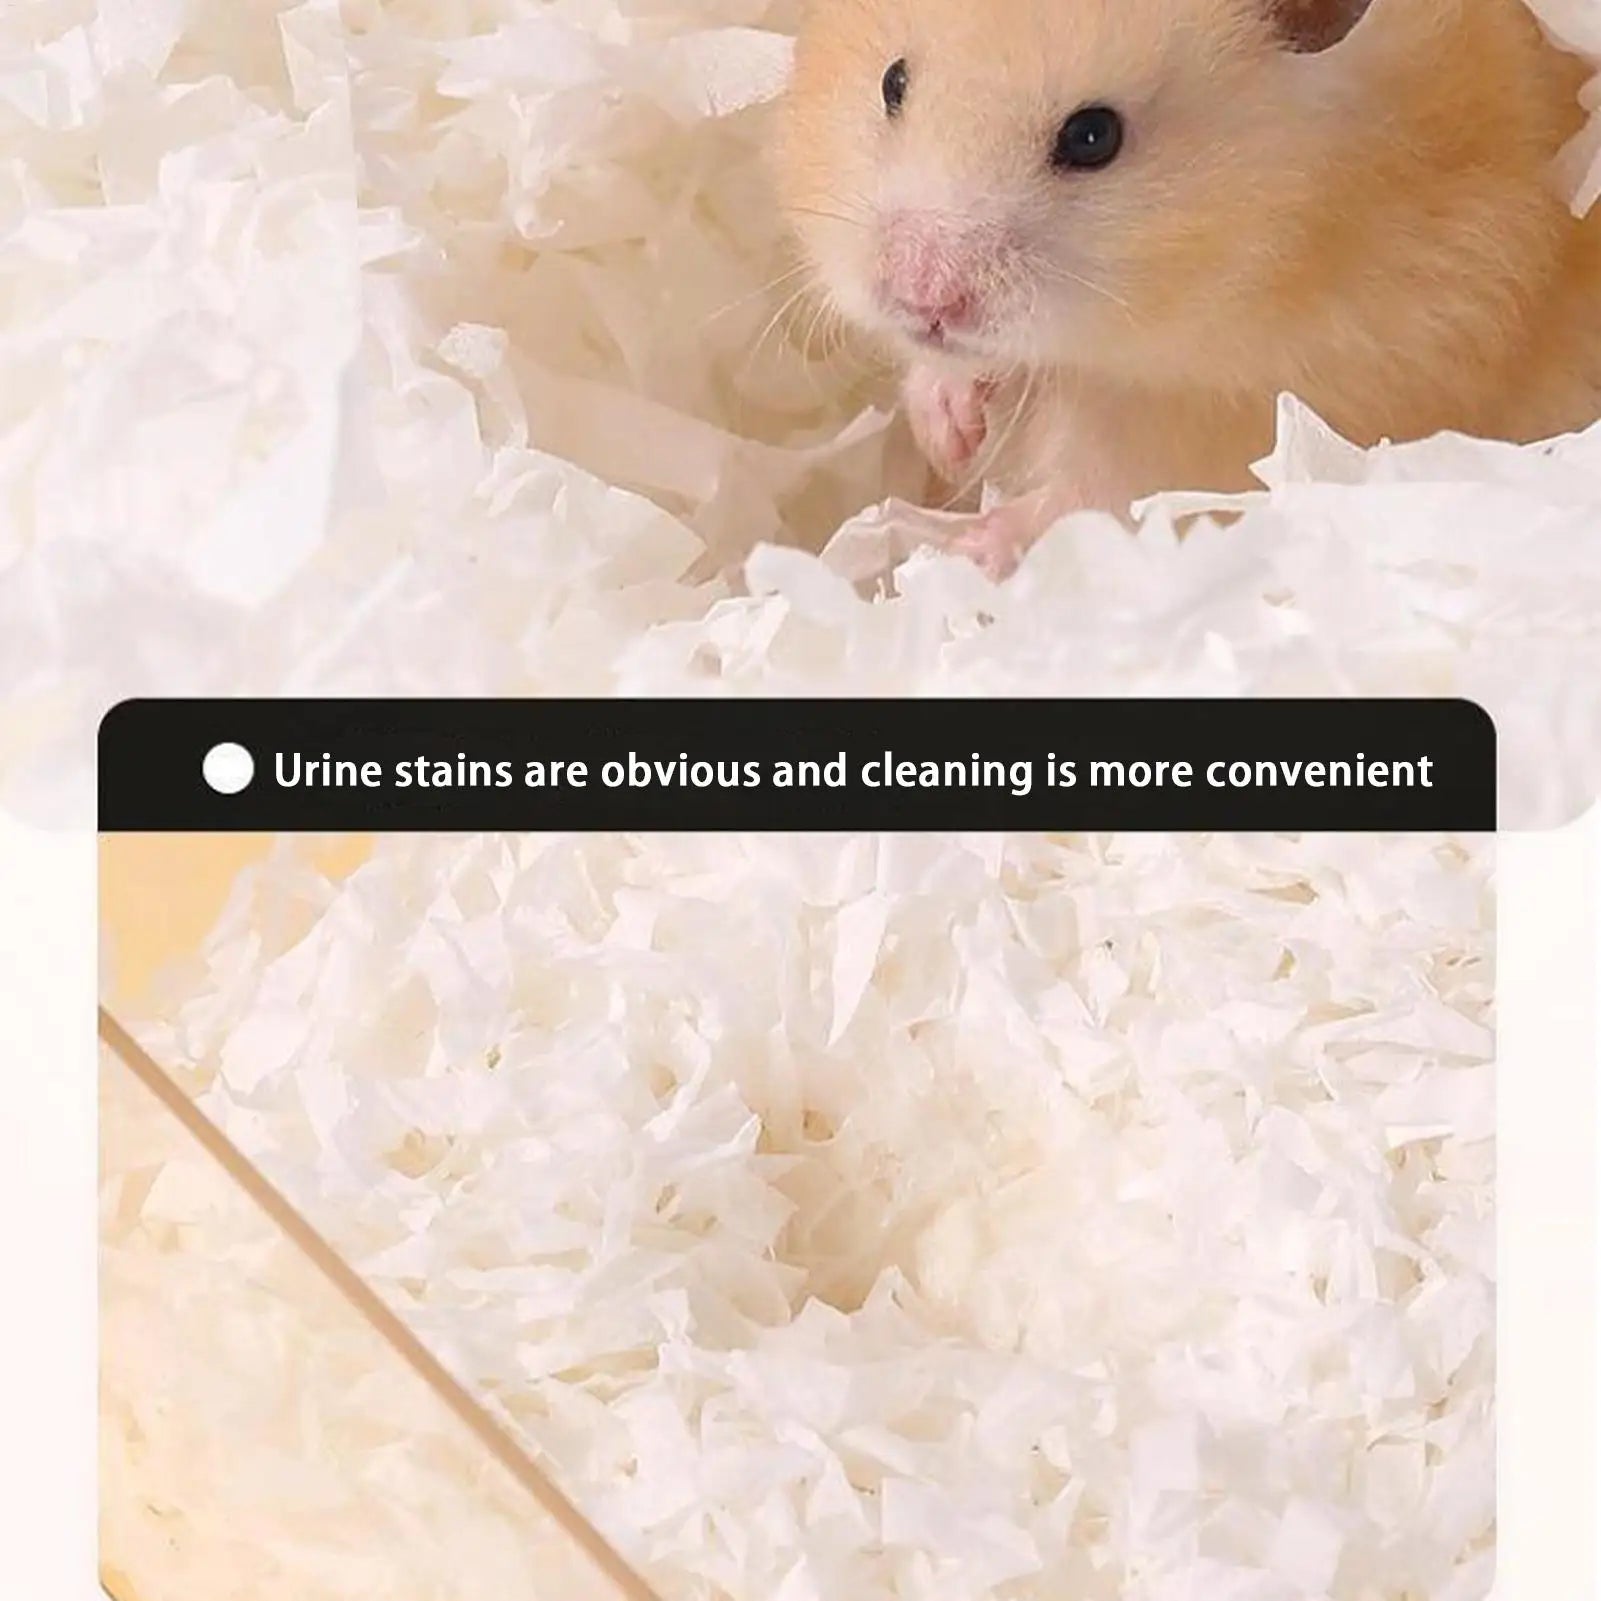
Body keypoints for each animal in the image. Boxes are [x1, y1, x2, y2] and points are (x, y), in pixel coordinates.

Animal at [775, 0, 1601, 572]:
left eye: (1093, 136)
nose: (921, 297)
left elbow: (1100, 493)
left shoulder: (1263, 406)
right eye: (893, 82)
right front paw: (949, 432)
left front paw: (966, 547)